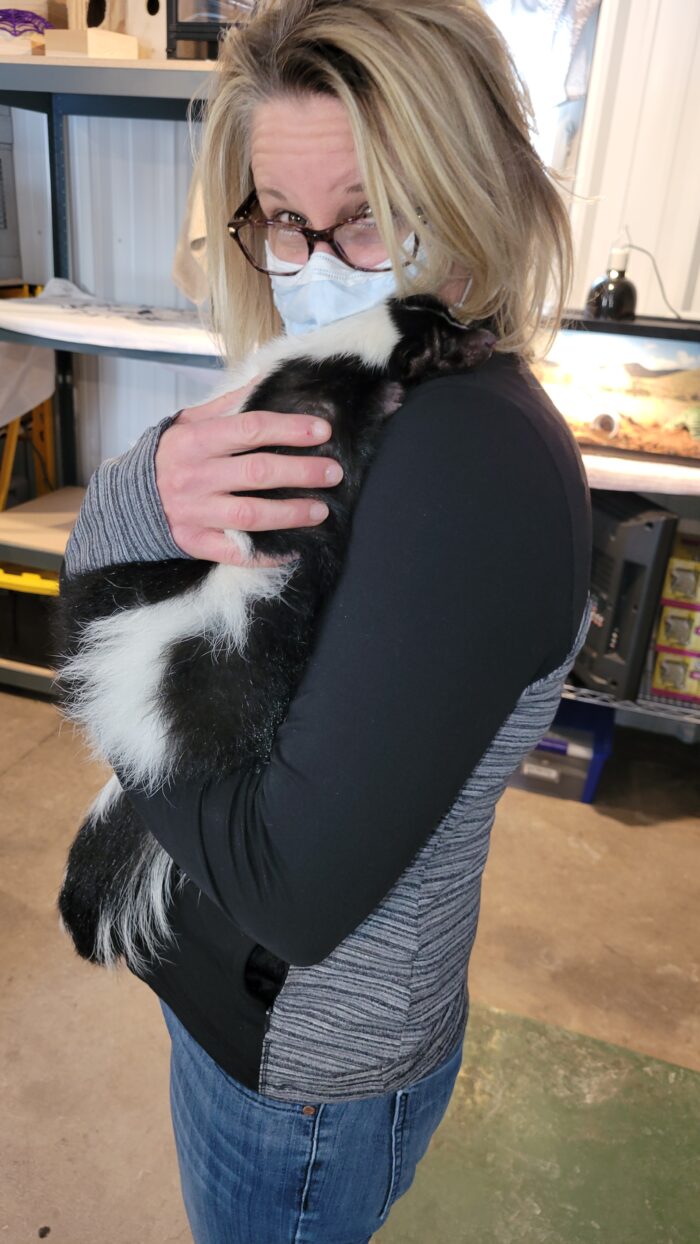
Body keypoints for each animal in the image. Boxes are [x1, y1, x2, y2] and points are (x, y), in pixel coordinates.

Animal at [53, 293, 497, 975]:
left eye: (453, 317)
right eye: (444, 344)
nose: (492, 337)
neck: (344, 351)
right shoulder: (307, 426)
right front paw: (390, 403)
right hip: (249, 661)